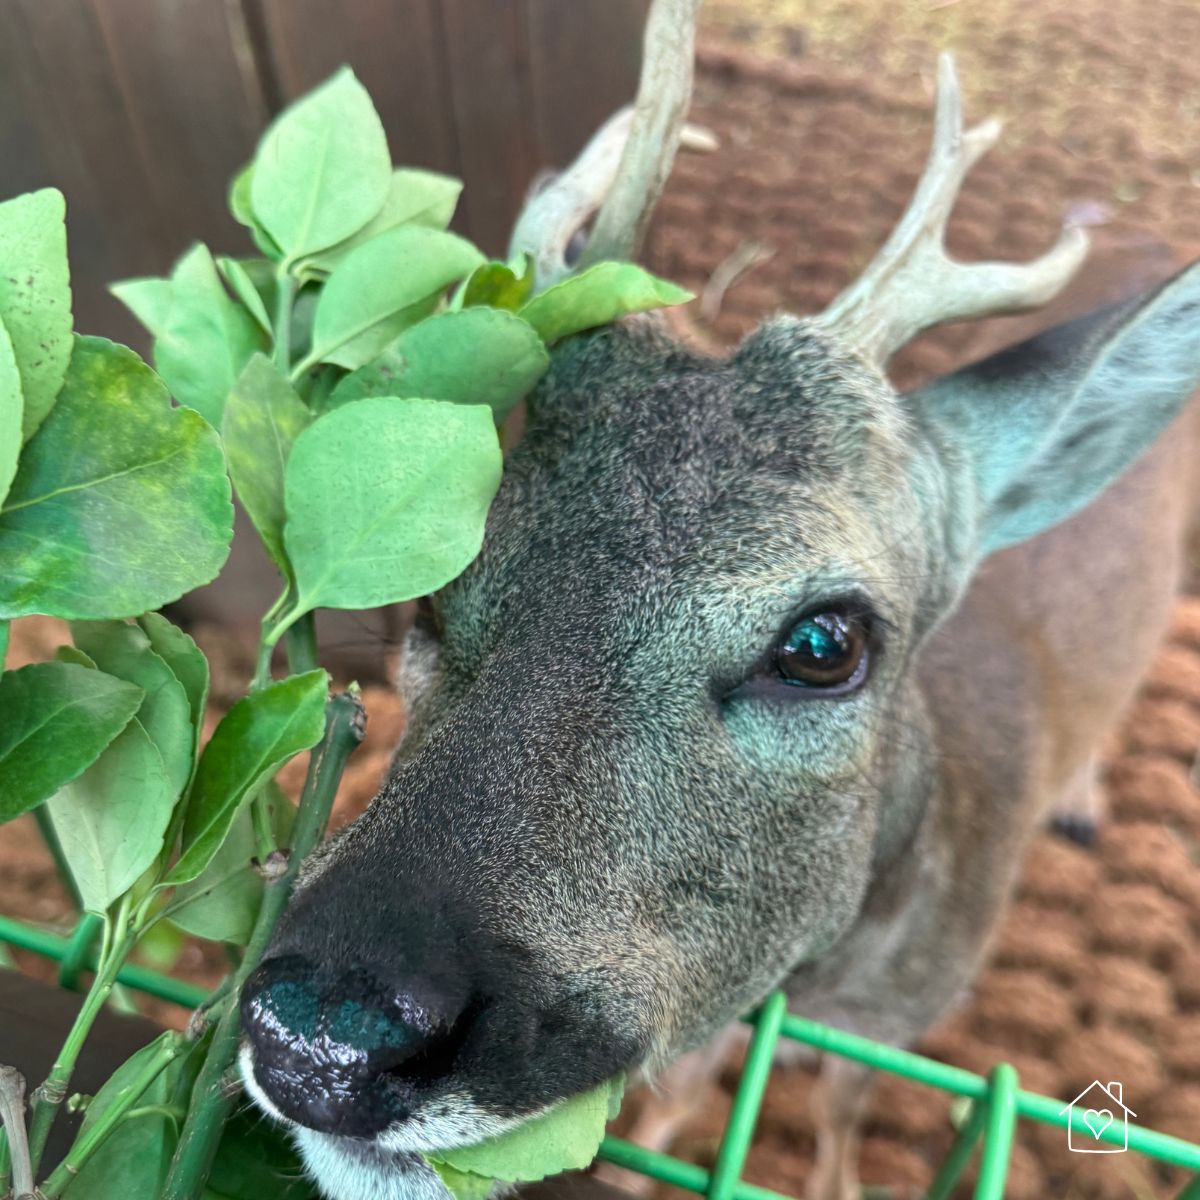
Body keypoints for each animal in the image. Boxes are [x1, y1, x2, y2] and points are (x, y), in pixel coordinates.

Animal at [235, 2, 1200, 1198]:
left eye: (826, 643)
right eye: (433, 582)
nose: (326, 1031)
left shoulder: (908, 1011)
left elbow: (840, 1104)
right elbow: (685, 1090)